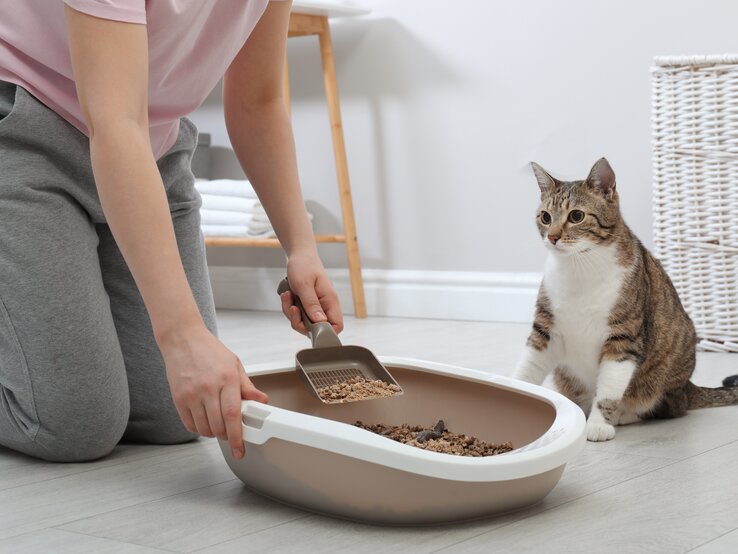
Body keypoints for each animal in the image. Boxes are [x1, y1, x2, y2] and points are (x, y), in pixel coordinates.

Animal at [512, 158, 736, 440]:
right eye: (545, 217)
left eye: (576, 216)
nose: (552, 236)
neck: (578, 268)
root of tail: (688, 386)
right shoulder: (545, 328)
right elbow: (527, 367)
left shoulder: (623, 335)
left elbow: (609, 387)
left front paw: (598, 424)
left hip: (665, 376)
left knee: (668, 406)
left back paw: (624, 414)